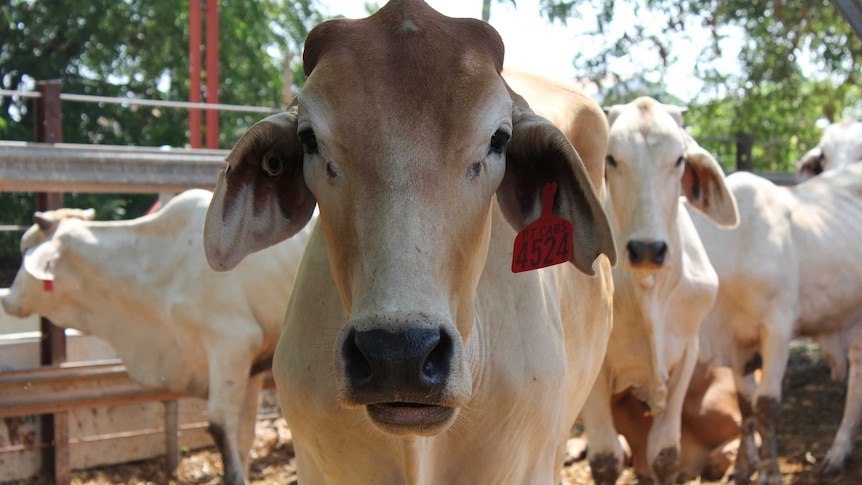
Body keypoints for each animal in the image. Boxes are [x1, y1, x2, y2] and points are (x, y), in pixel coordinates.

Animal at [0, 189, 310, 484]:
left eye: (26, 250)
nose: (7, 299)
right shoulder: (251, 362)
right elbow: (245, 432)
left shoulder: (231, 344)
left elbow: (221, 425)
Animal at [584, 96, 744, 482]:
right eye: (611, 159)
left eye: (679, 160)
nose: (647, 249)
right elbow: (605, 459)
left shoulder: (686, 352)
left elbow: (665, 454)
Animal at [692, 164, 862, 484]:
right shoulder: (737, 341)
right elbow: (746, 405)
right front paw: (742, 467)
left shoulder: (777, 330)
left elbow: (766, 404)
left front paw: (769, 471)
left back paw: (837, 453)